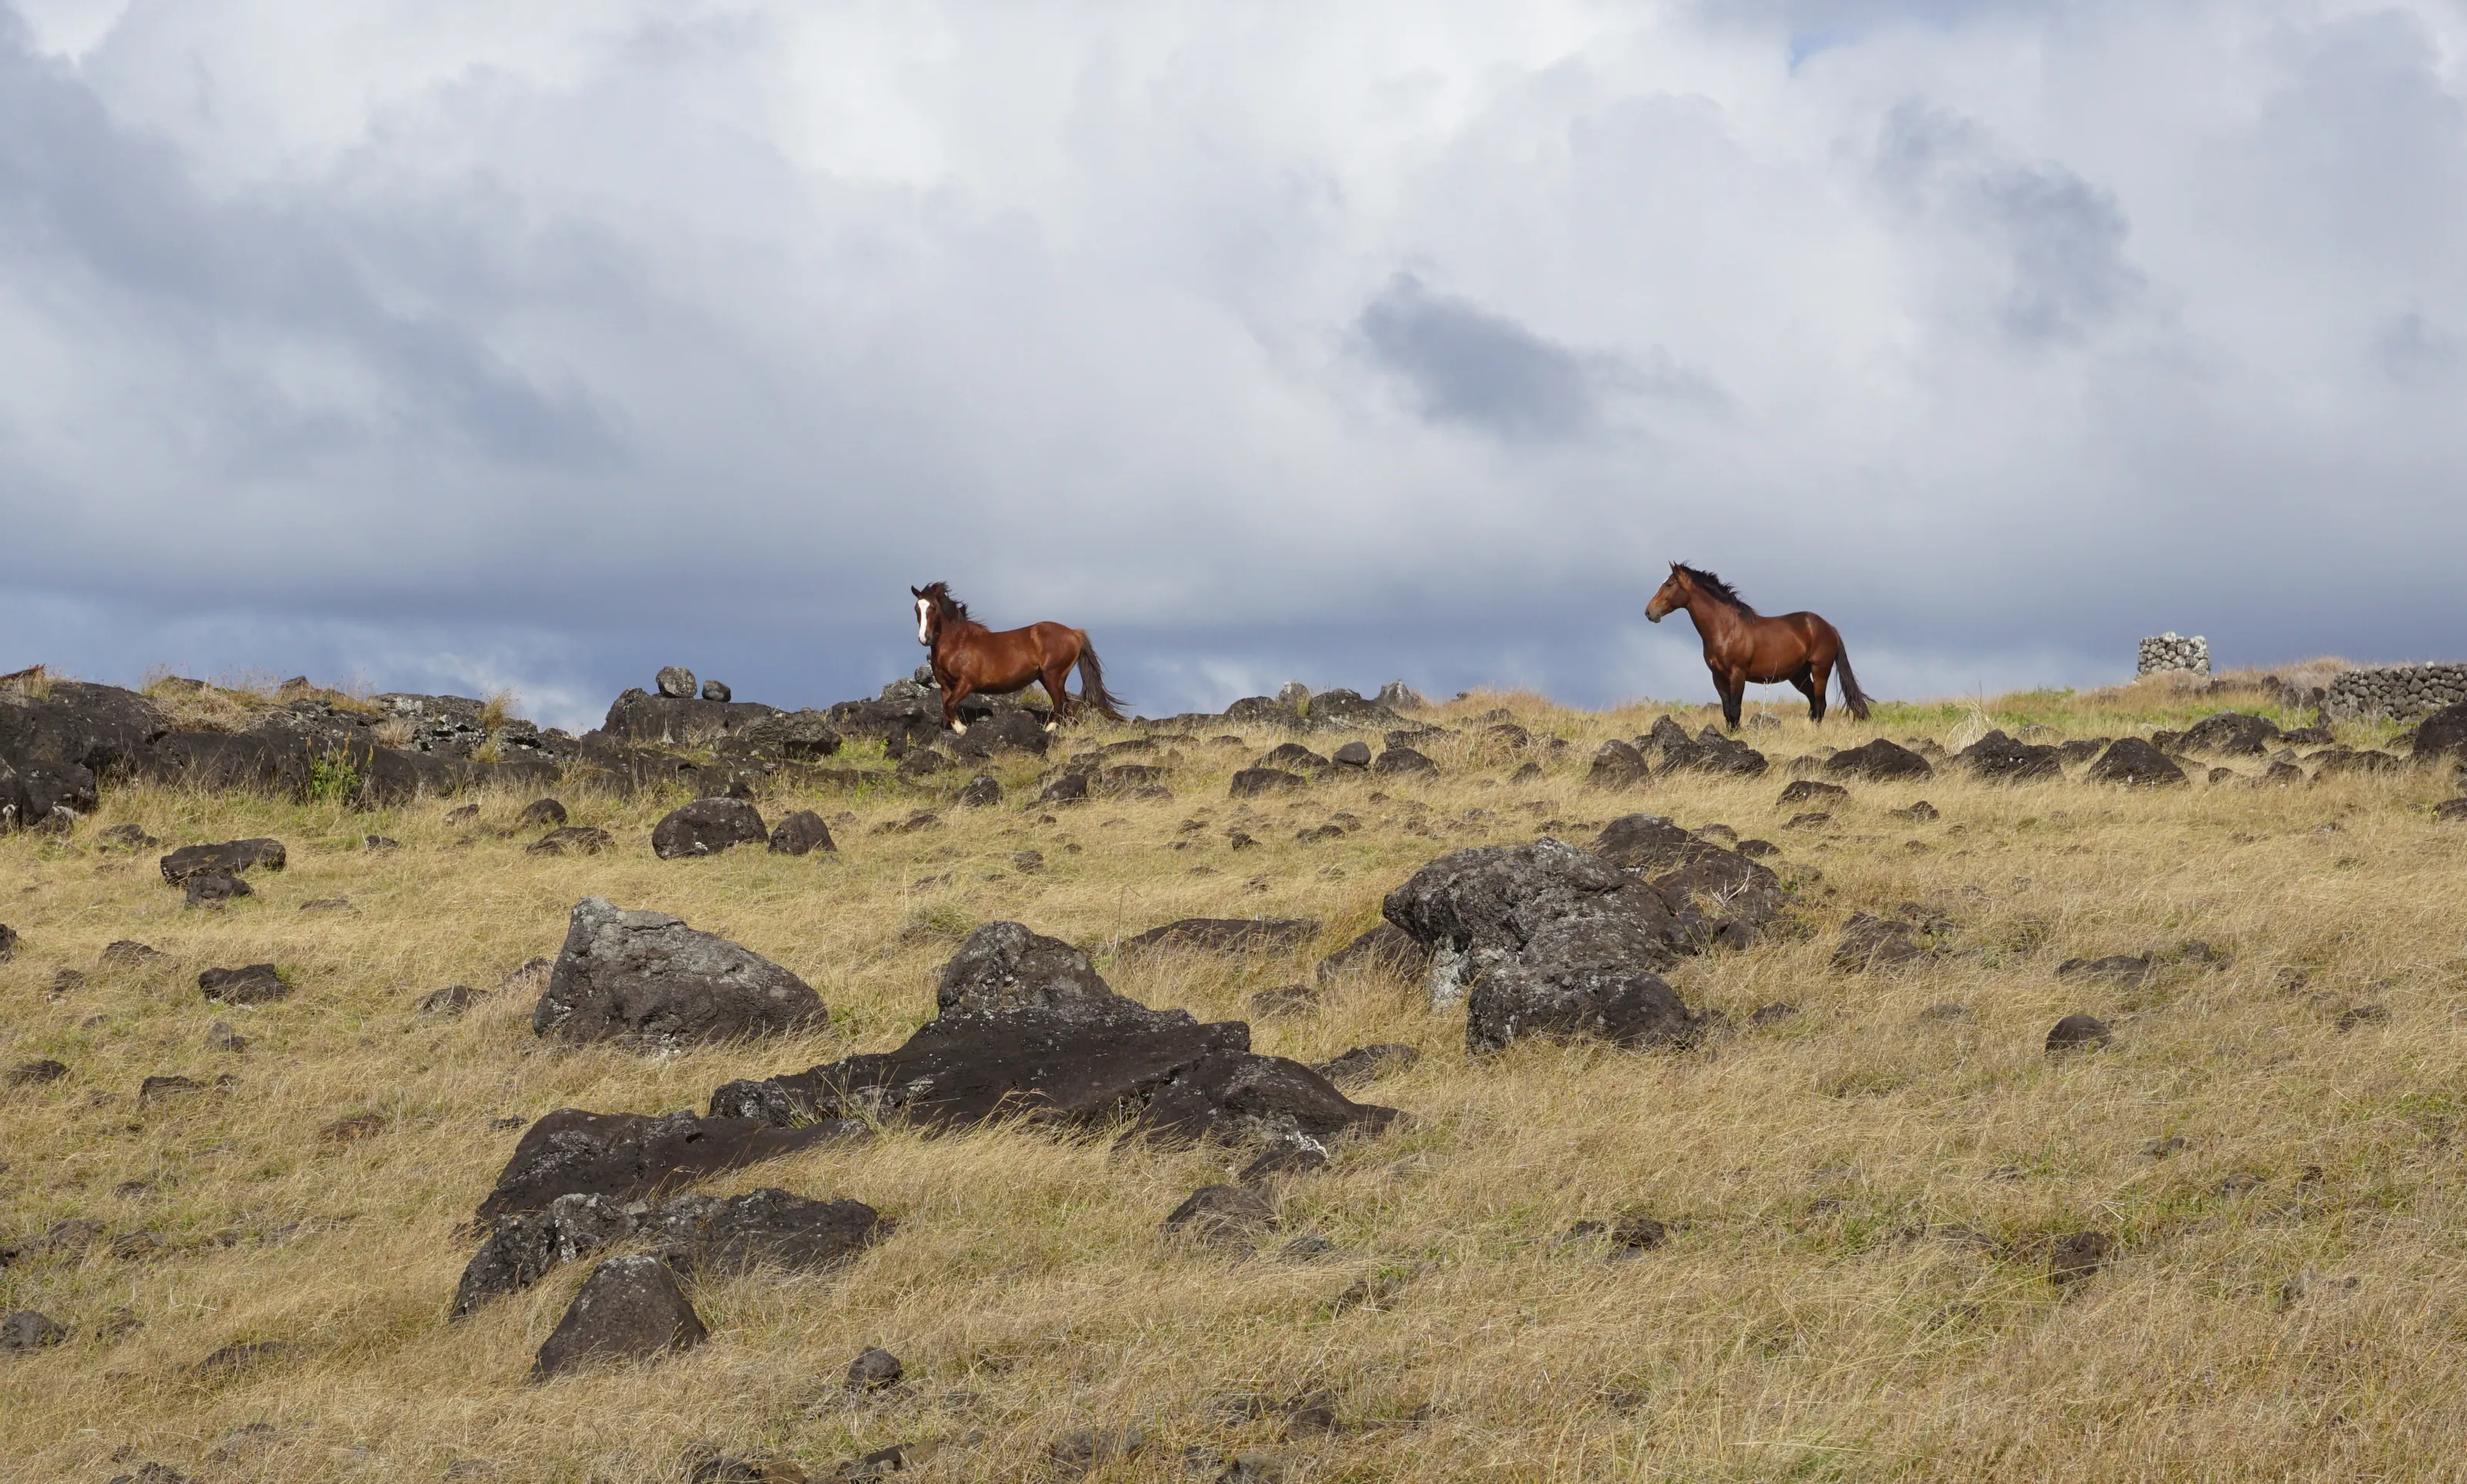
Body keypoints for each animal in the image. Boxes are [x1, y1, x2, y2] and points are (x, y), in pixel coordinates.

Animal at [912, 582, 1127, 734]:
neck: (958, 642)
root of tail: (1075, 633)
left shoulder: (967, 683)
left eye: (933, 608)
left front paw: (962, 730)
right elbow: (946, 710)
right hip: (1047, 678)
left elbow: (949, 707)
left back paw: (1048, 730)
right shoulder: (946, 686)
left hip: (1053, 676)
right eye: (917, 608)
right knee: (1066, 706)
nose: (924, 638)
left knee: (1060, 705)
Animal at [1644, 563, 1870, 730]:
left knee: (1820, 703)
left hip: (1820, 669)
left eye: (1669, 584)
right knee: (1814, 703)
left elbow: (1735, 709)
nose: (1649, 612)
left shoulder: (1737, 674)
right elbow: (1727, 711)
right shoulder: (1718, 677)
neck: (1726, 628)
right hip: (1799, 675)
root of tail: (1829, 627)